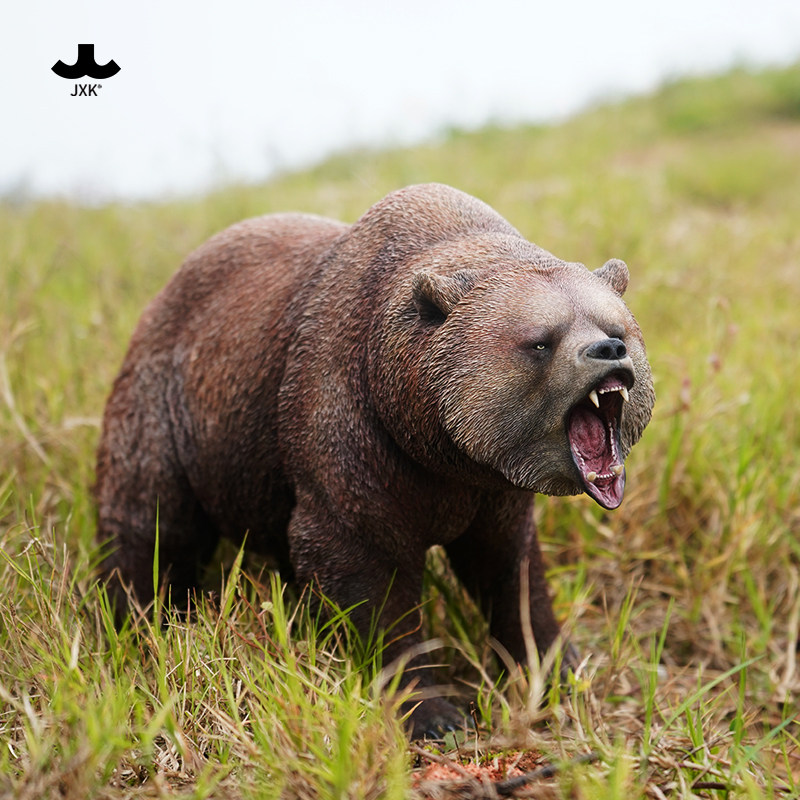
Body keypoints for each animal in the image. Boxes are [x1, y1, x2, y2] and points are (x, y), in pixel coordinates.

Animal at [95, 183, 654, 738]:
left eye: (616, 326)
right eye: (541, 341)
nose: (607, 350)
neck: (436, 443)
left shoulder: (493, 490)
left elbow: (509, 571)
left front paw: (559, 671)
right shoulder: (352, 436)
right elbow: (366, 574)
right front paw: (434, 713)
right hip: (169, 407)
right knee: (149, 518)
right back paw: (133, 619)